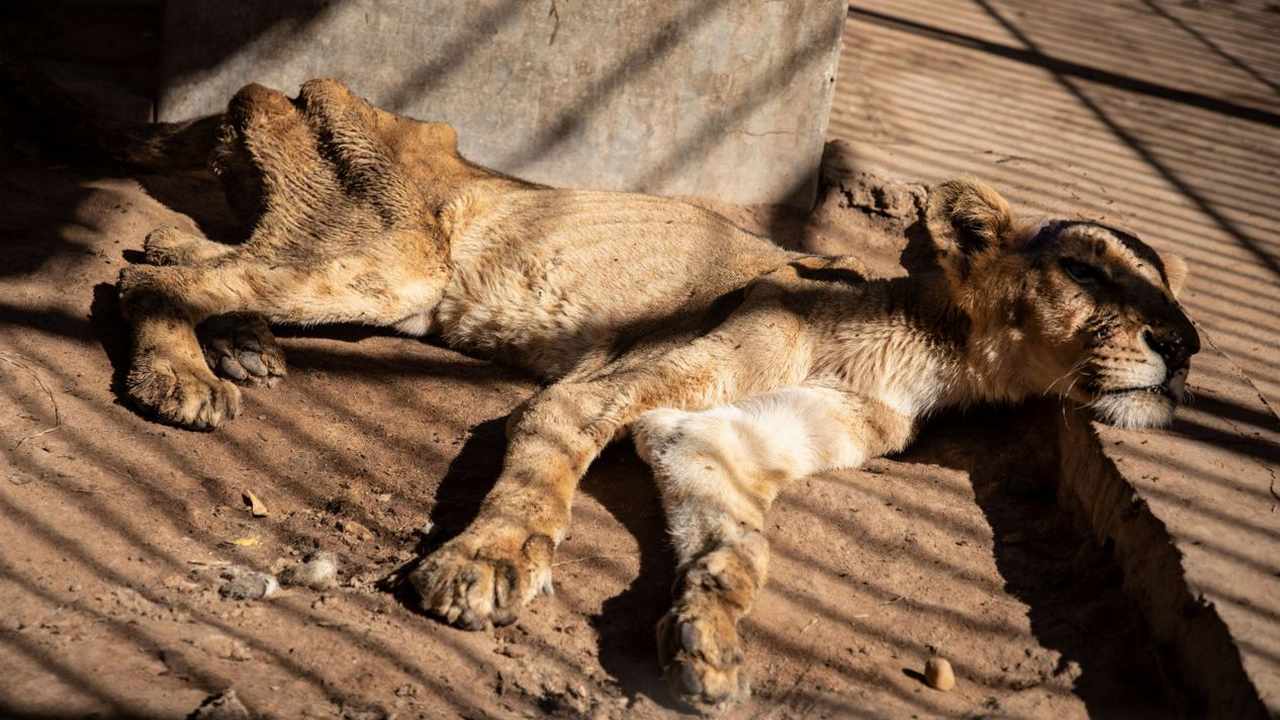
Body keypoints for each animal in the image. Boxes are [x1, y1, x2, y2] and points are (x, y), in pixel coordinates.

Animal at [112, 79, 1198, 710]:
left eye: (1174, 289)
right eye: (1087, 271)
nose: (1185, 346)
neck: (925, 357)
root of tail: (292, 82)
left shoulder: (705, 438)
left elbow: (738, 551)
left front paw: (710, 648)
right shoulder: (607, 389)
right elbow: (538, 483)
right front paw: (485, 567)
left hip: (356, 272)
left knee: (168, 250)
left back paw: (240, 348)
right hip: (380, 268)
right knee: (153, 280)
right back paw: (181, 378)